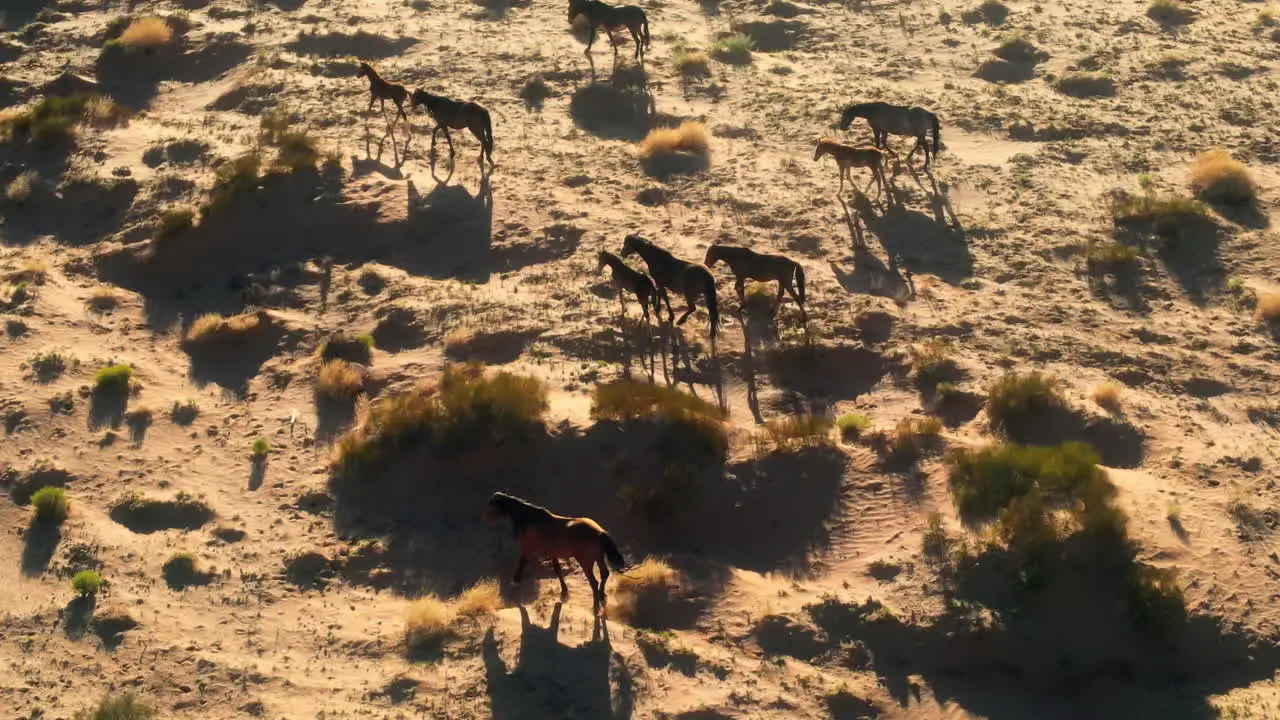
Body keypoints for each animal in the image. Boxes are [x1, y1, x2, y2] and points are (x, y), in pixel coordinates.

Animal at [481, 489, 627, 607]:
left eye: (492, 505)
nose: (486, 521)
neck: (530, 519)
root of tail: (599, 532)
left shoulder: (527, 549)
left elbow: (522, 563)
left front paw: (515, 581)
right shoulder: (553, 554)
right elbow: (558, 571)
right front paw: (564, 591)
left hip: (586, 562)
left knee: (594, 582)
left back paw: (595, 605)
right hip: (598, 558)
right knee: (604, 574)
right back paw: (602, 595)